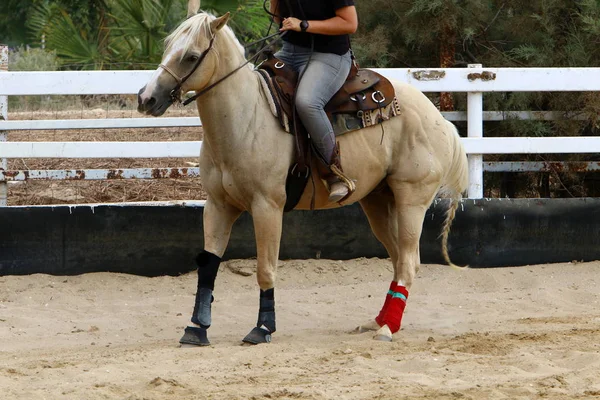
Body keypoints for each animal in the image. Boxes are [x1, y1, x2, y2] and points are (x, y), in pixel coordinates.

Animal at [137, 4, 468, 346]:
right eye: (166, 46)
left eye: (191, 56)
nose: (146, 99)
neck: (246, 117)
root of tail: (438, 118)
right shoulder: (217, 205)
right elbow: (208, 265)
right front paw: (196, 328)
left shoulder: (267, 206)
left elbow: (265, 269)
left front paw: (263, 328)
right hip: (378, 201)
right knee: (399, 258)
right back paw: (378, 321)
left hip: (411, 200)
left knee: (408, 262)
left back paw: (388, 328)